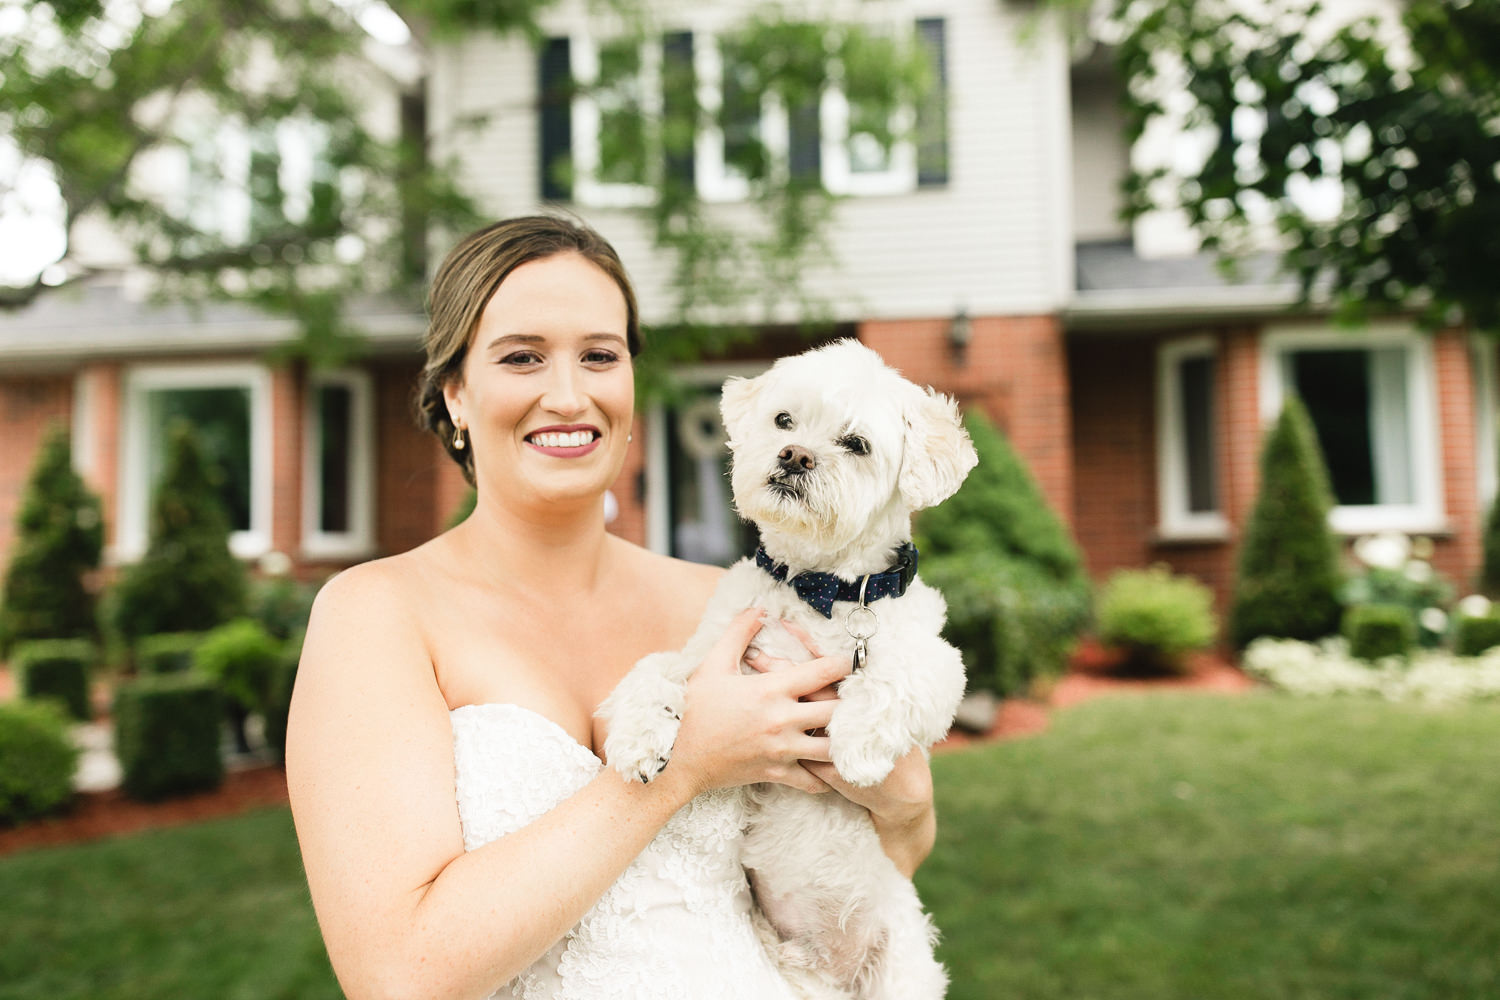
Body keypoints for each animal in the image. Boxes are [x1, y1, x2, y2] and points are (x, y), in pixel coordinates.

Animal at [603, 340, 978, 995]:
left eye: (856, 443)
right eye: (784, 421)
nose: (794, 455)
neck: (816, 585)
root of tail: (828, 971)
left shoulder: (939, 664)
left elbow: (893, 677)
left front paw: (855, 748)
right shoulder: (711, 658)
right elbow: (653, 669)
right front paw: (638, 740)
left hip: (902, 970)